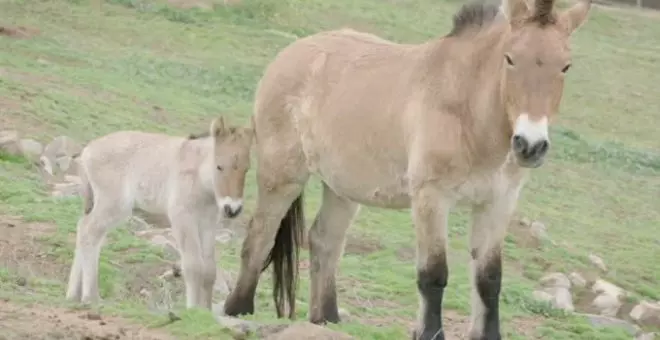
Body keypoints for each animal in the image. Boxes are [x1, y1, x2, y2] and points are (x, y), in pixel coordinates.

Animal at [66, 117, 253, 310]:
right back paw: (91, 297)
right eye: (219, 167)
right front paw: (192, 310)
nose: (233, 209)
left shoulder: (208, 223)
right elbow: (194, 266)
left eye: (247, 168)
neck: (199, 175)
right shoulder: (182, 218)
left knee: (84, 228)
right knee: (89, 230)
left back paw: (73, 295)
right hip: (114, 204)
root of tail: (88, 150)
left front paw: (205, 311)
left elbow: (209, 270)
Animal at [226, 0, 592, 338]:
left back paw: (326, 319)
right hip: (282, 176)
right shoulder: (432, 198)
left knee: (324, 240)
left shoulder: (498, 202)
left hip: (343, 189)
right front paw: (429, 332)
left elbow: (488, 278)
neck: (466, 107)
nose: (530, 145)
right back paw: (237, 310)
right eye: (510, 58)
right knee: (259, 235)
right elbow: (433, 273)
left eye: (565, 66)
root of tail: (290, 53)